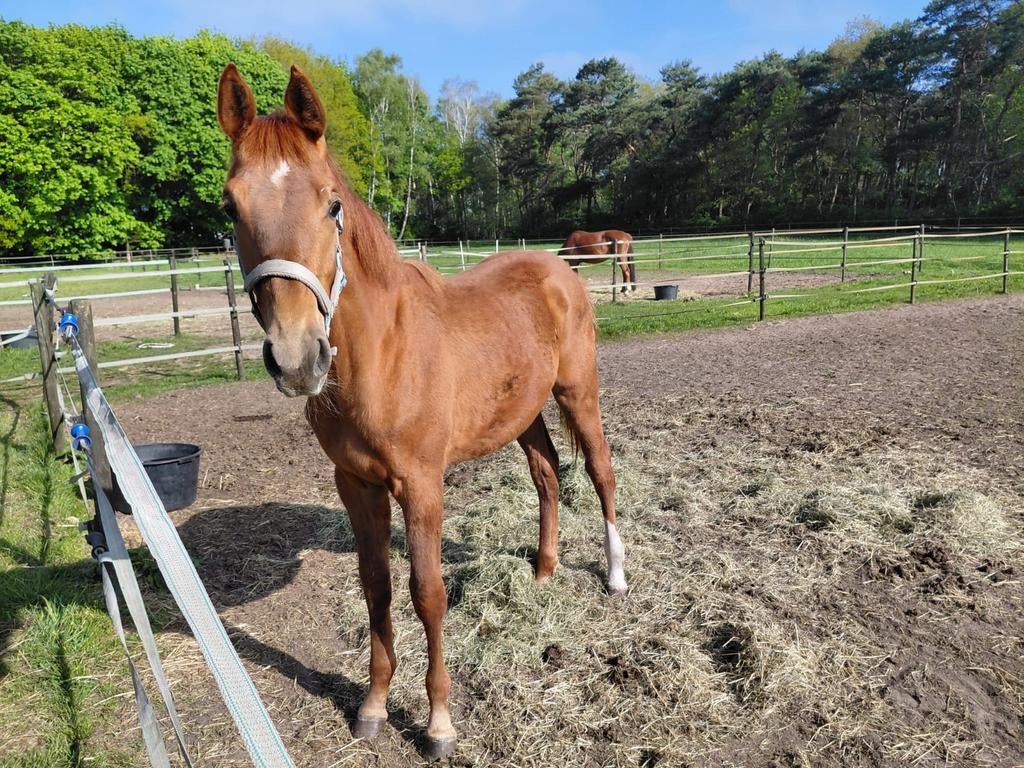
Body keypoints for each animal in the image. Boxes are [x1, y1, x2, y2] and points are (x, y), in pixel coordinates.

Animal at [217, 64, 627, 760]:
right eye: (230, 205)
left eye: (331, 203)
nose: (297, 357)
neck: (383, 354)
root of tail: (561, 269)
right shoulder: (356, 484)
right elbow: (377, 588)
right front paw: (374, 706)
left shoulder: (421, 484)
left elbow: (427, 594)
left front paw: (437, 722)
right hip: (522, 414)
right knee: (547, 474)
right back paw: (543, 571)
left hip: (578, 392)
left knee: (600, 471)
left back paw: (617, 576)